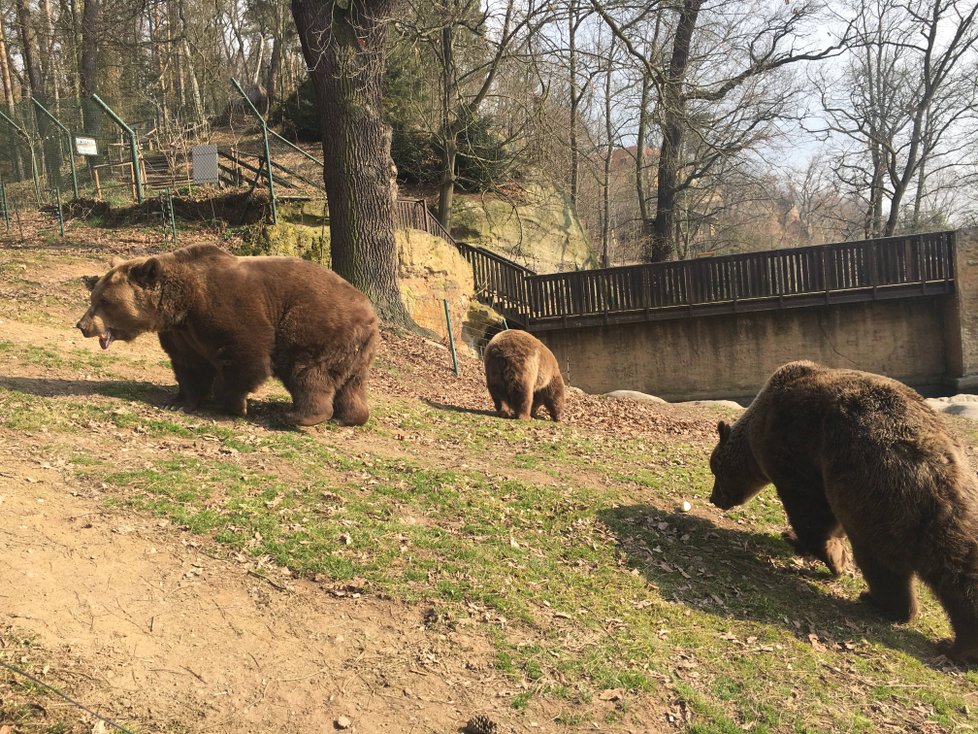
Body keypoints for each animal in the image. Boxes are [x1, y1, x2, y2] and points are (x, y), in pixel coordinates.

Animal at [72, 244, 376, 428]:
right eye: (94, 296)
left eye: (105, 301)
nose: (83, 325)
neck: (182, 305)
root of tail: (370, 312)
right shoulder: (182, 334)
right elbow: (190, 366)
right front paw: (179, 401)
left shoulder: (229, 310)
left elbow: (245, 357)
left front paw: (235, 406)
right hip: (357, 352)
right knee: (351, 383)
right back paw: (350, 417)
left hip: (313, 325)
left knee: (307, 371)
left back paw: (300, 416)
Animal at [704, 362, 976, 668]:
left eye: (716, 469)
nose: (714, 498)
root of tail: (933, 471)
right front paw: (801, 541)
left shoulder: (795, 447)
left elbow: (810, 509)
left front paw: (829, 554)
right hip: (957, 510)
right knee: (959, 572)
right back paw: (962, 645)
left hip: (875, 492)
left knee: (880, 561)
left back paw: (880, 601)